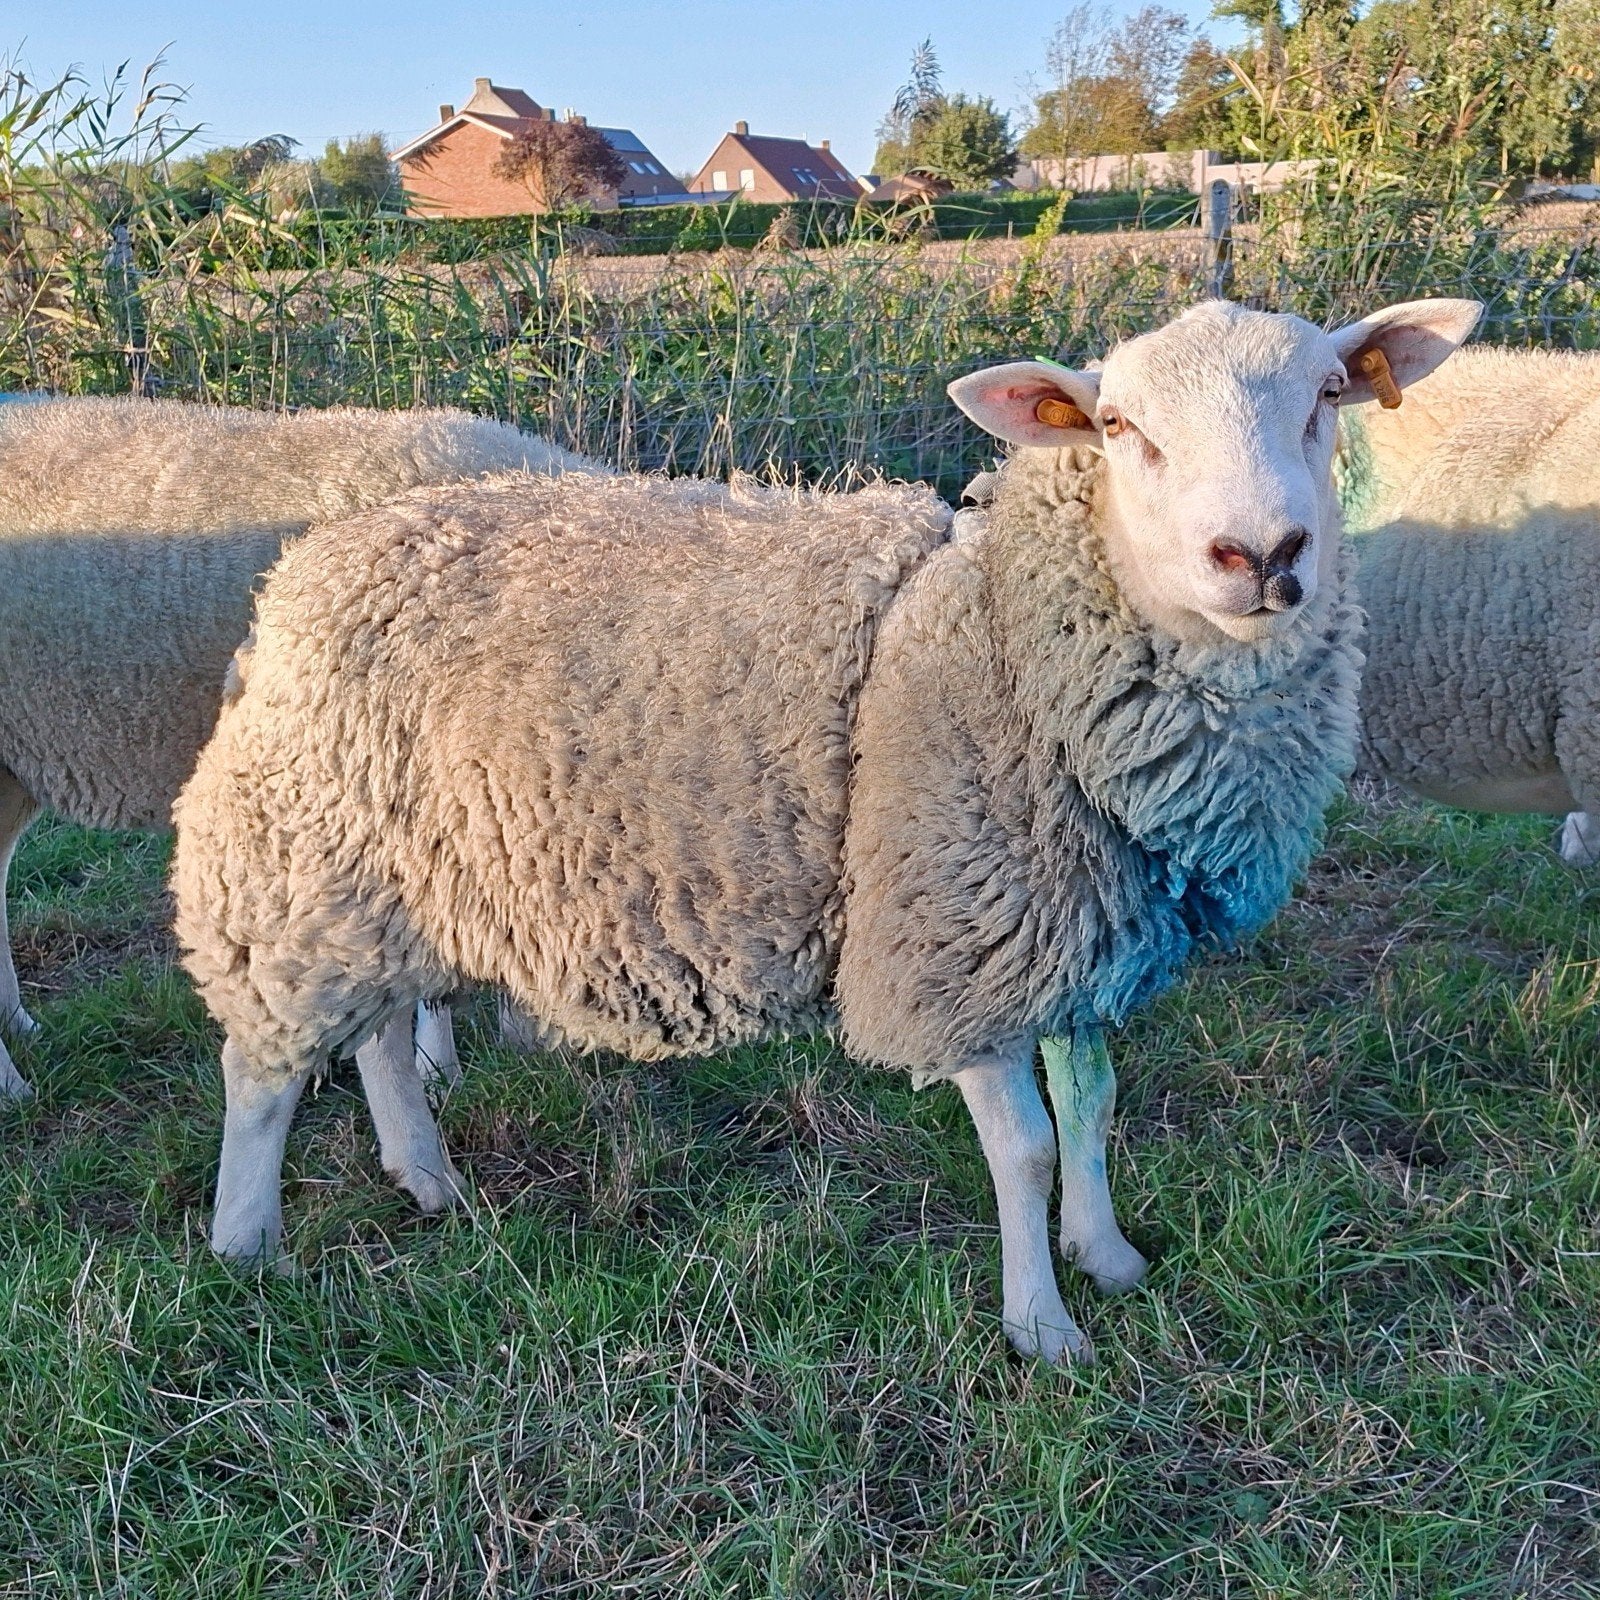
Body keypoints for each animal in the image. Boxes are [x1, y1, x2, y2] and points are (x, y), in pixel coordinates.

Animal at [170, 299, 1477, 1364]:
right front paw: (1042, 1326)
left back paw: (426, 1177)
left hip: (390, 871)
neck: (1003, 633)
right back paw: (246, 1244)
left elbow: (1092, 1103)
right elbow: (1026, 1145)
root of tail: (305, 567)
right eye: (1116, 425)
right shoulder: (951, 933)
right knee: (266, 1063)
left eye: (1327, 395)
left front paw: (1105, 1256)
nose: (1260, 555)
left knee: (381, 1030)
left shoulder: (1075, 932)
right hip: (296, 850)